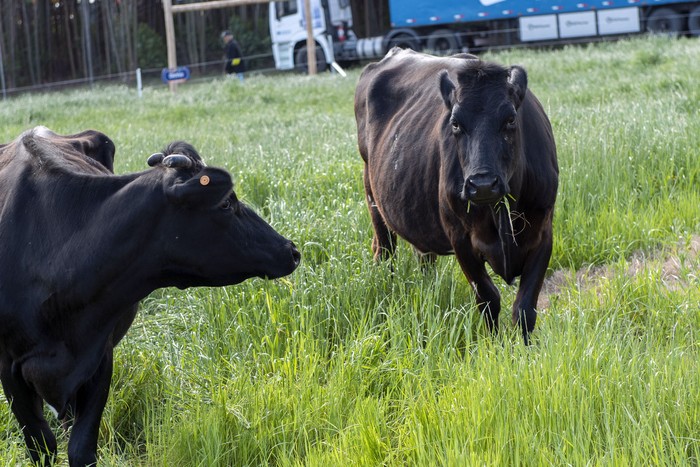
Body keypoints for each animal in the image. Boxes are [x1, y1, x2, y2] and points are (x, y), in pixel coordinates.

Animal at [0, 126, 298, 466]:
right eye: (226, 203)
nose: (291, 250)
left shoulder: (99, 356)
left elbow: (81, 449)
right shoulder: (10, 369)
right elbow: (41, 446)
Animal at [356, 49, 556, 346]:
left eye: (510, 119)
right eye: (456, 123)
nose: (482, 184)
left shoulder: (543, 233)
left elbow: (524, 307)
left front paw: (526, 349)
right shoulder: (460, 238)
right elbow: (488, 298)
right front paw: (494, 346)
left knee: (424, 257)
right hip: (372, 193)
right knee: (384, 251)